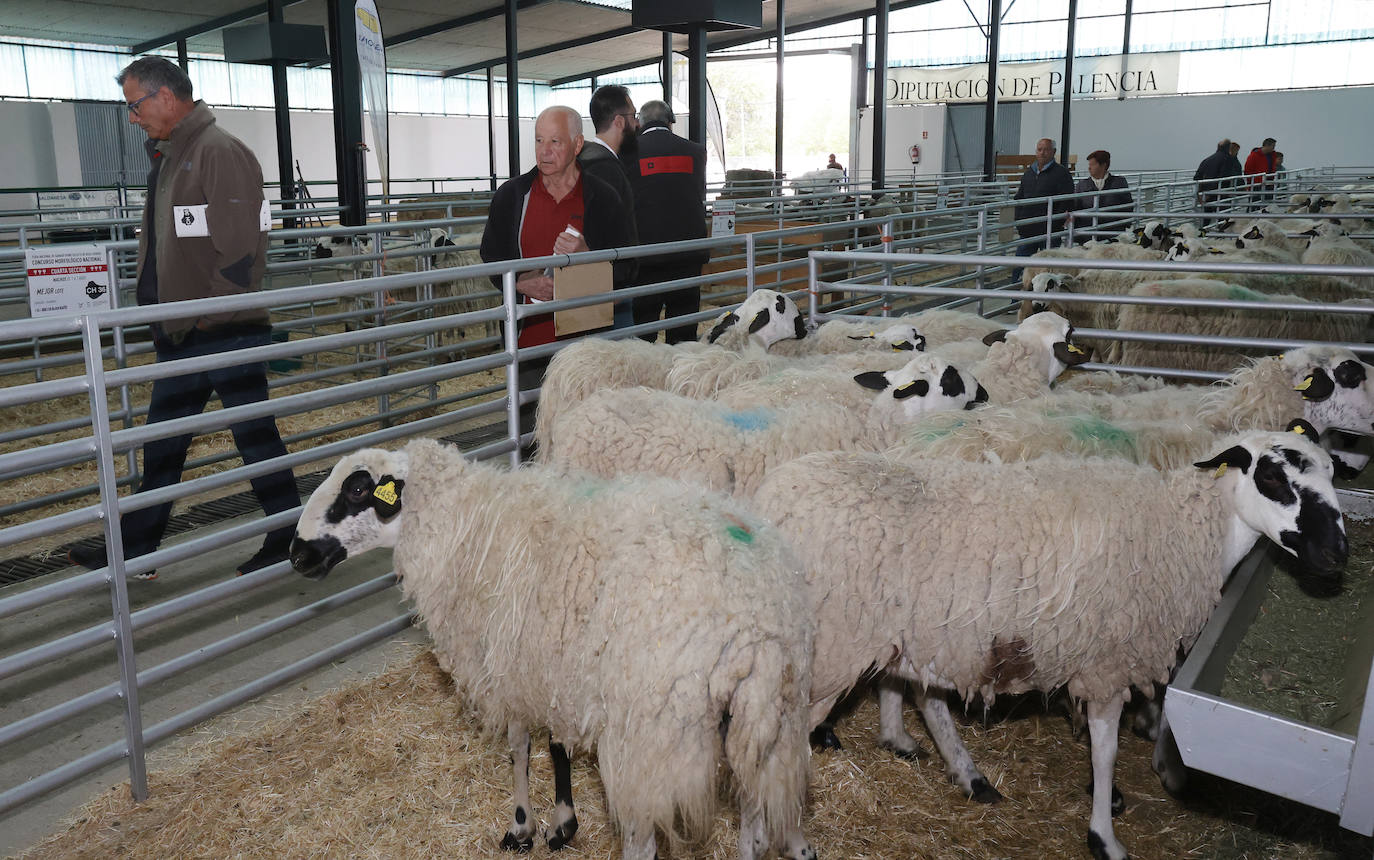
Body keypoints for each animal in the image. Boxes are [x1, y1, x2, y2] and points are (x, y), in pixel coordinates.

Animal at [289, 439, 813, 857]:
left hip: (649, 736)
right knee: (756, 825)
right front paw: (561, 824)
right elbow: (556, 744)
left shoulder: (511, 662)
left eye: (358, 490)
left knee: (643, 839)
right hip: (767, 723)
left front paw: (523, 826)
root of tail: (755, 625)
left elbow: (520, 746)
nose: (296, 554)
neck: (465, 526)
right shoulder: (555, 667)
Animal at [752, 425, 1341, 857]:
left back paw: (958, 770)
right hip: (828, 649)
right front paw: (1105, 833)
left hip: (918, 634)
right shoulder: (1108, 660)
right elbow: (1106, 750)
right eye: (1273, 476)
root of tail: (767, 499)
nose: (1338, 553)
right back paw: (791, 838)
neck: (1184, 533)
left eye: (1333, 472)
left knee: (917, 695)